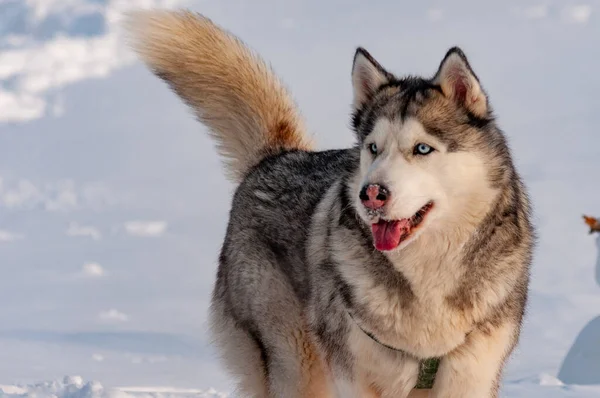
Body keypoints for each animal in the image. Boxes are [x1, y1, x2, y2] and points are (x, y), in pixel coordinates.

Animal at [126, 9, 536, 398]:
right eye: (373, 148)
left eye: (422, 149)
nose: (371, 193)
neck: (426, 279)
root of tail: (278, 156)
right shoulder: (357, 376)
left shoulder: (471, 375)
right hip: (295, 361)